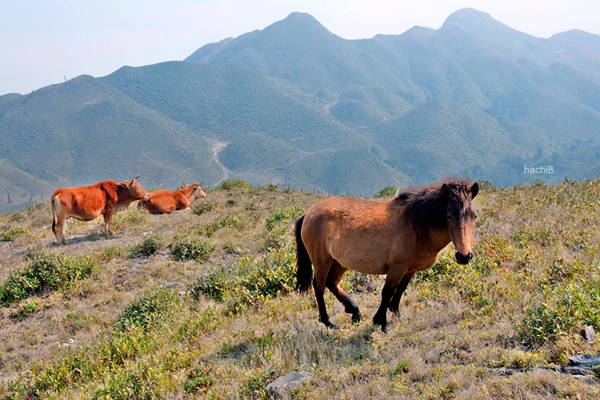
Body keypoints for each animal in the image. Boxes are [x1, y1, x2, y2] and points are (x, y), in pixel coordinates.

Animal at [296, 180, 478, 332]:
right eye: (449, 215)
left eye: (474, 215)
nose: (464, 256)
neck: (416, 225)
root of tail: (308, 214)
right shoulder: (397, 267)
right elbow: (387, 292)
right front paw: (381, 322)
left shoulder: (410, 269)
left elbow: (401, 289)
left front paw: (395, 312)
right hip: (322, 260)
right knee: (319, 286)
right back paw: (327, 321)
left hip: (339, 262)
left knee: (331, 283)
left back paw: (354, 312)